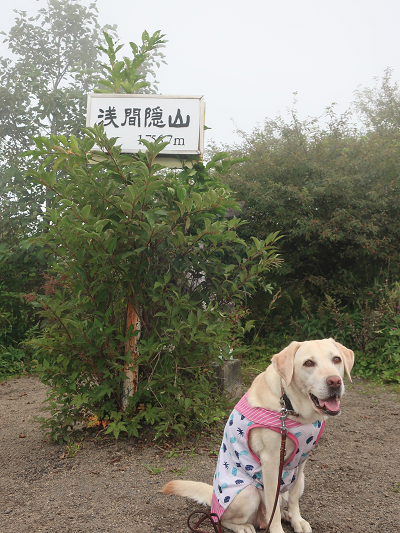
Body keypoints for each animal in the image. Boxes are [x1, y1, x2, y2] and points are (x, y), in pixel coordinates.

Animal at [161, 338, 354, 528]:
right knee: (224, 519)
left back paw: (287, 516)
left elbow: (292, 499)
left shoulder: (301, 463)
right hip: (248, 494)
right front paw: (277, 529)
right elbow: (272, 510)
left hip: (301, 481)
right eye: (308, 363)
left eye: (336, 359)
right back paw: (244, 527)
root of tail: (213, 497)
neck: (291, 406)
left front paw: (297, 520)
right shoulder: (271, 463)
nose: (335, 382)